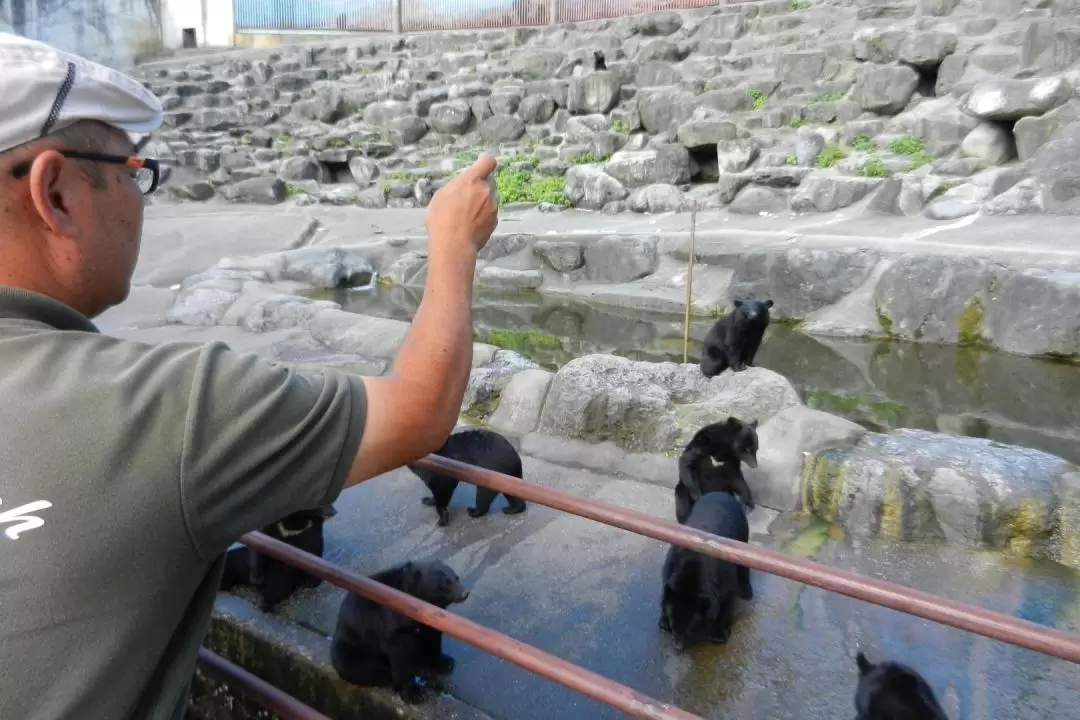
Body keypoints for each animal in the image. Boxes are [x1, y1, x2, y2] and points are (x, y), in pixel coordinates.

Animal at [324, 561, 468, 708]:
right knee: (356, 666)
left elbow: (432, 637)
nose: (465, 593)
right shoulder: (394, 623)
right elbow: (400, 655)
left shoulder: (429, 620)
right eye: (445, 584)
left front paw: (444, 662)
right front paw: (413, 694)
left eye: (456, 578)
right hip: (351, 646)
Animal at [656, 492, 751, 651]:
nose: (678, 647)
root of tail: (721, 493)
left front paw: (718, 635)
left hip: (742, 534)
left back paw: (747, 592)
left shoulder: (723, 576)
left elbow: (726, 600)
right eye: (673, 620)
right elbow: (666, 594)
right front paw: (663, 622)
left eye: (690, 626)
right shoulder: (669, 567)